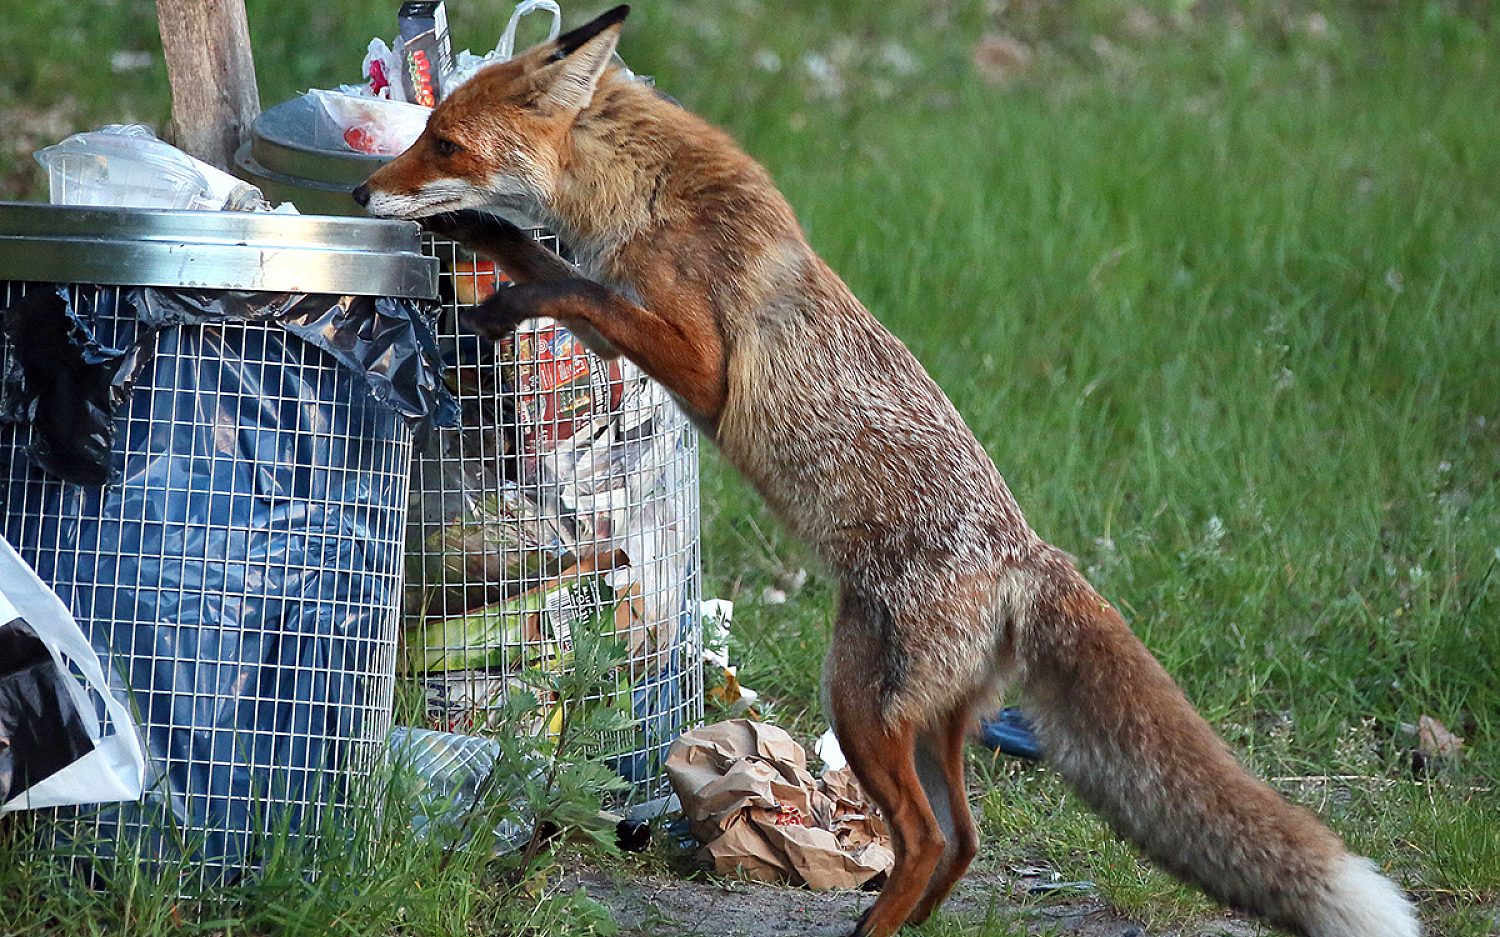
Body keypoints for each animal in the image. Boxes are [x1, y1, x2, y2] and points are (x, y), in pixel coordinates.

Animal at [354, 7, 1422, 937]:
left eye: (445, 143)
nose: (363, 195)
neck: (645, 195)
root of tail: (1029, 556)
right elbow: (543, 257)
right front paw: (483, 246)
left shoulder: (701, 363)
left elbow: (575, 288)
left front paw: (508, 294)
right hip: (925, 720)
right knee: (963, 839)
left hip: (860, 708)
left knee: (923, 840)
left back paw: (876, 922)